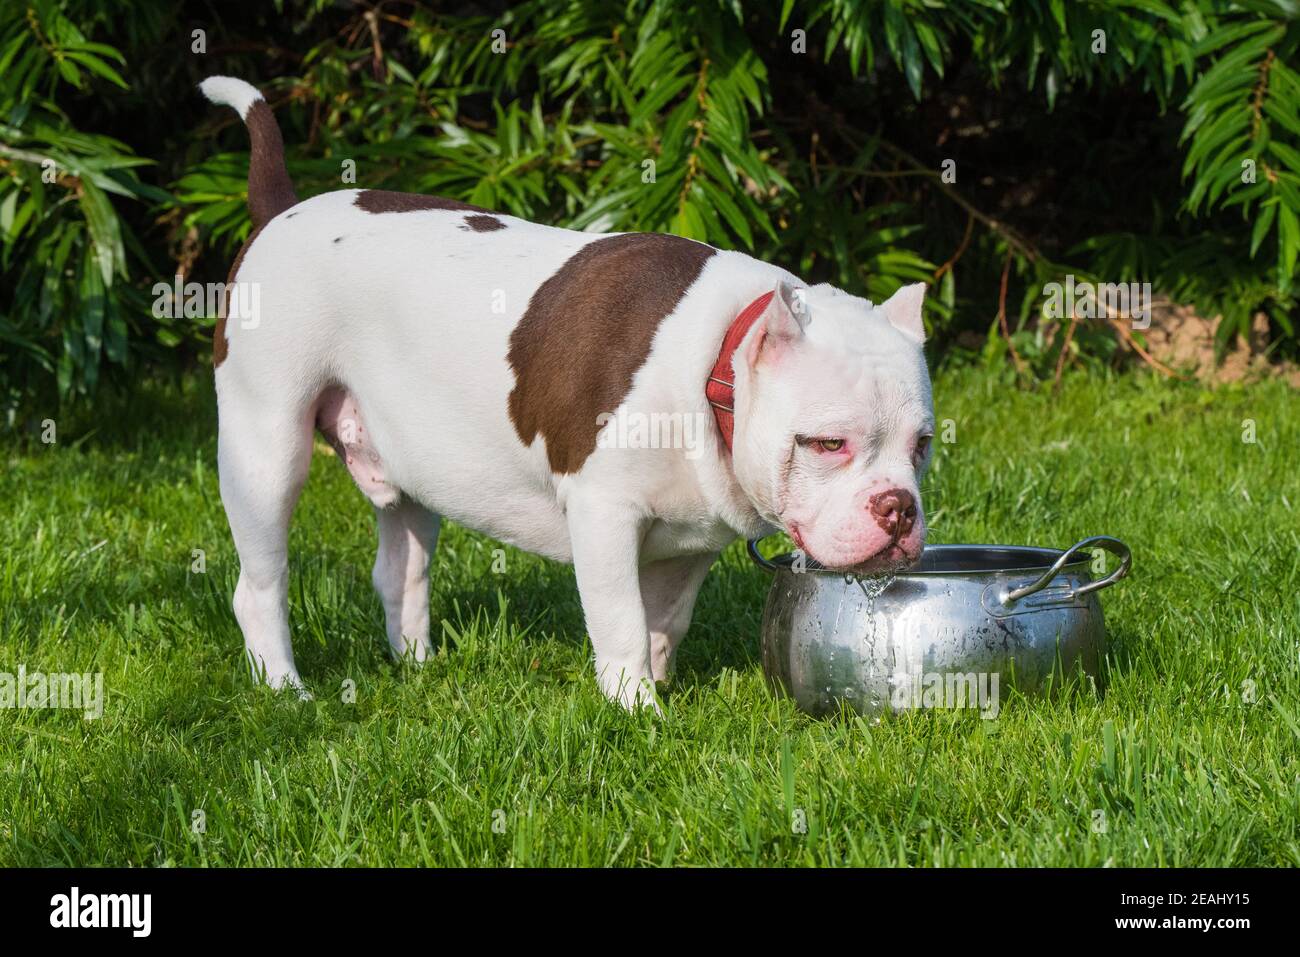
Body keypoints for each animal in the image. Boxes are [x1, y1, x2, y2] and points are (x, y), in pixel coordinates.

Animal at [200, 76, 935, 712]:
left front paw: (657, 689)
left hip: (409, 469)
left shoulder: (692, 545)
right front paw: (636, 710)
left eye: (922, 446)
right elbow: (621, 620)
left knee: (400, 568)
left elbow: (665, 623)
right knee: (259, 583)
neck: (717, 366)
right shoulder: (603, 513)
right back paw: (285, 687)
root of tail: (280, 212)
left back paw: (418, 666)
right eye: (827, 443)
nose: (898, 508)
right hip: (265, 452)